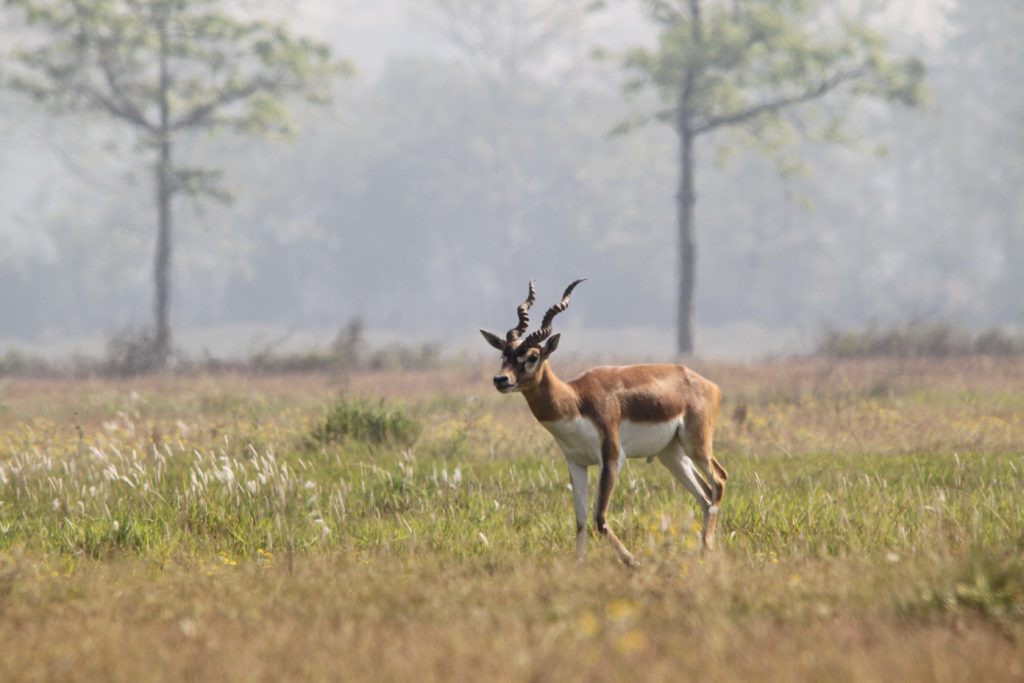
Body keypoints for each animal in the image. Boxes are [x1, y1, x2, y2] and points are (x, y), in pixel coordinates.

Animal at [481, 278, 729, 565]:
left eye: (532, 356)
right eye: (504, 354)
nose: (501, 380)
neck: (575, 399)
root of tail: (708, 384)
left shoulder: (611, 458)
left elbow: (599, 517)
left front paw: (633, 561)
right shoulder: (576, 462)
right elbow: (579, 519)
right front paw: (579, 563)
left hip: (696, 445)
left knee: (719, 480)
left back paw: (707, 548)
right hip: (672, 454)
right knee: (704, 494)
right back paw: (703, 550)